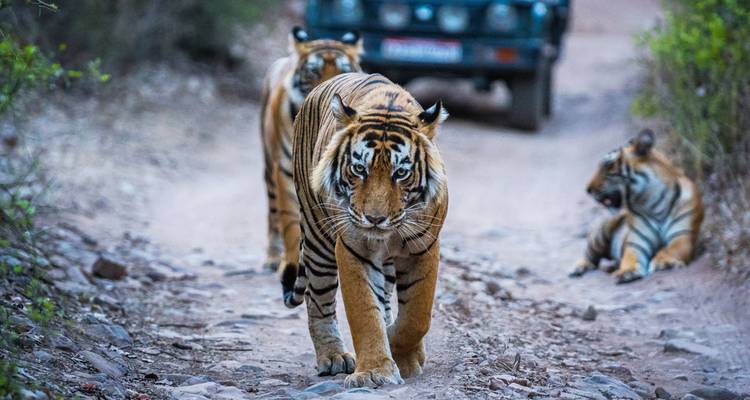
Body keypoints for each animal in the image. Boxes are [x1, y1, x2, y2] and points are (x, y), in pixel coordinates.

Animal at [260, 27, 362, 272]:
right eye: (313, 71)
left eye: (344, 70)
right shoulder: (285, 170)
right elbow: (289, 220)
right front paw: (290, 262)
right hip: (269, 168)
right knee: (273, 213)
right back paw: (271, 258)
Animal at [282, 72, 449, 388]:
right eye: (359, 169)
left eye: (401, 173)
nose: (374, 219)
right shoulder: (353, 247)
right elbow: (365, 313)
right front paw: (375, 371)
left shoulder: (424, 247)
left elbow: (417, 315)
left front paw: (403, 353)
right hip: (317, 237)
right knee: (318, 301)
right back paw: (333, 357)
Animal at [571, 129, 704, 283]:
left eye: (608, 165)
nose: (588, 189)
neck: (653, 201)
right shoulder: (636, 242)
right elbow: (630, 256)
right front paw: (626, 271)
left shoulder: (682, 235)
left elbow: (669, 249)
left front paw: (663, 262)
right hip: (602, 229)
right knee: (590, 255)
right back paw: (578, 268)